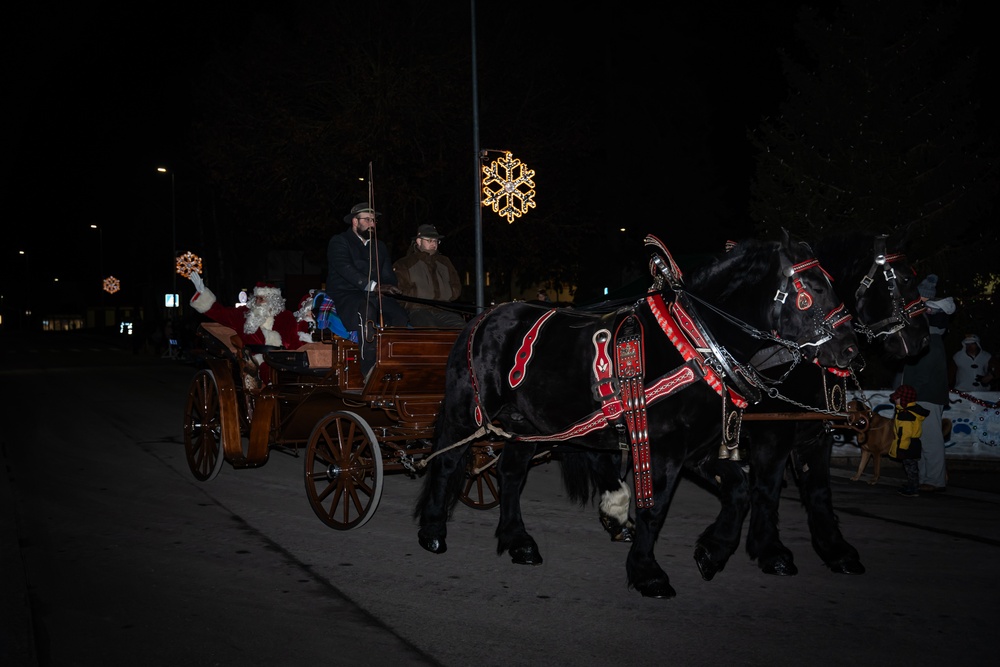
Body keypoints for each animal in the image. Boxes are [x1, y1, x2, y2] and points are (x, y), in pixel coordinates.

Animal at [414, 235, 860, 600]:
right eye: (812, 290)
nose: (851, 349)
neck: (695, 342)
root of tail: (483, 316)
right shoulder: (663, 446)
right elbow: (656, 506)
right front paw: (648, 572)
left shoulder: (699, 448)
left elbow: (740, 490)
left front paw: (713, 551)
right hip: (467, 412)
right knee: (449, 462)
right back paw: (433, 531)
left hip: (528, 423)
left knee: (510, 473)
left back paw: (517, 540)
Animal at [692, 232, 932, 580]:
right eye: (904, 279)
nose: (922, 339)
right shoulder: (772, 433)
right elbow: (765, 488)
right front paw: (769, 550)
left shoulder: (815, 434)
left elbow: (818, 491)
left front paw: (836, 549)